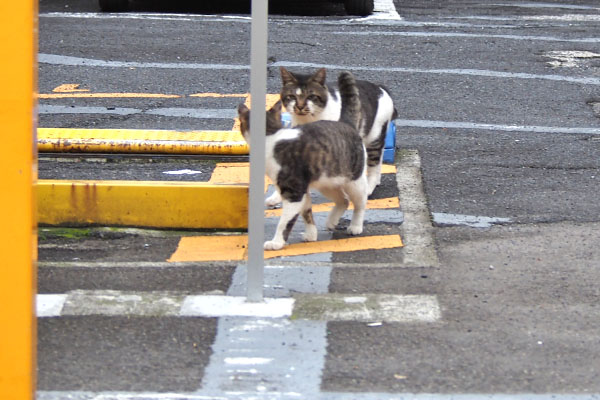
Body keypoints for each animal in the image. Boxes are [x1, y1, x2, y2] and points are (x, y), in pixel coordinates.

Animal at [238, 70, 368, 248]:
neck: (270, 135)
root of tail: (345, 123)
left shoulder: (293, 191)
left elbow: (284, 222)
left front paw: (277, 242)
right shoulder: (302, 189)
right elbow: (307, 213)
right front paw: (311, 235)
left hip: (354, 181)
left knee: (359, 203)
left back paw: (355, 226)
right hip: (326, 182)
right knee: (343, 200)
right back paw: (331, 221)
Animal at [278, 68, 396, 198]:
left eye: (311, 96)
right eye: (291, 96)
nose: (299, 106)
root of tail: (380, 88)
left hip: (374, 137)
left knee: (374, 162)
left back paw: (368, 187)